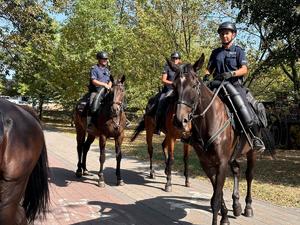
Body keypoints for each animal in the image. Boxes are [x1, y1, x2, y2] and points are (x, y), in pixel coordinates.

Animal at [170, 54, 258, 225]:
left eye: (194, 85)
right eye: (175, 86)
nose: (179, 121)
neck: (209, 121)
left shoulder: (222, 163)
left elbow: (216, 198)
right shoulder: (207, 164)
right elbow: (218, 195)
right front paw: (225, 217)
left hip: (252, 152)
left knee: (249, 175)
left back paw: (248, 207)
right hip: (233, 155)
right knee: (237, 170)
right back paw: (236, 205)